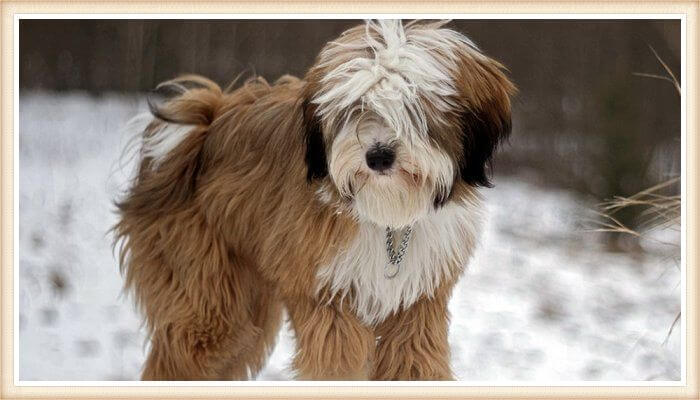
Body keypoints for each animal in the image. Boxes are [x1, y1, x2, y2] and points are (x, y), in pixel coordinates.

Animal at [113, 19, 516, 382]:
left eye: (415, 107)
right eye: (356, 108)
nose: (378, 157)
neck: (388, 220)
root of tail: (201, 128)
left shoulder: (418, 304)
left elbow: (415, 364)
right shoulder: (327, 300)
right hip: (204, 292)